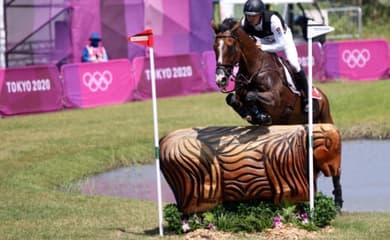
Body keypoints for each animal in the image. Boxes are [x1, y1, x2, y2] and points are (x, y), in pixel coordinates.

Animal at [210, 18, 342, 210]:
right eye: (214, 47)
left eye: (230, 46)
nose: (221, 79)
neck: (254, 69)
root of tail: (322, 96)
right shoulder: (239, 93)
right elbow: (232, 98)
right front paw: (252, 115)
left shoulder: (274, 101)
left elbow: (251, 96)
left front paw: (259, 115)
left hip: (324, 120)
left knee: (335, 166)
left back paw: (338, 202)